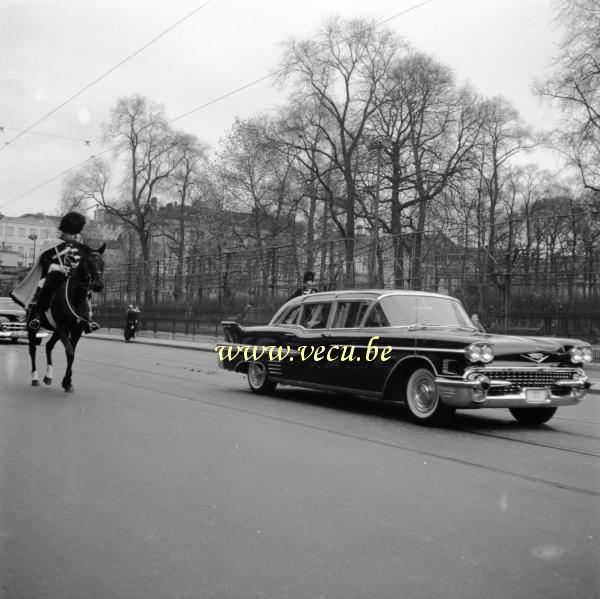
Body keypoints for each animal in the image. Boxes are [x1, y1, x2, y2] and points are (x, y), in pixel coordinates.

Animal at [27, 245, 105, 394]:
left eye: (103, 263)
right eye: (89, 262)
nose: (98, 285)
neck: (76, 298)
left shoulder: (76, 331)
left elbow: (72, 353)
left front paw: (67, 383)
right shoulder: (63, 328)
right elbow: (70, 352)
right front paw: (66, 382)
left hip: (56, 332)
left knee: (48, 346)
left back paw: (48, 376)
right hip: (32, 329)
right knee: (32, 350)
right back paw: (34, 378)